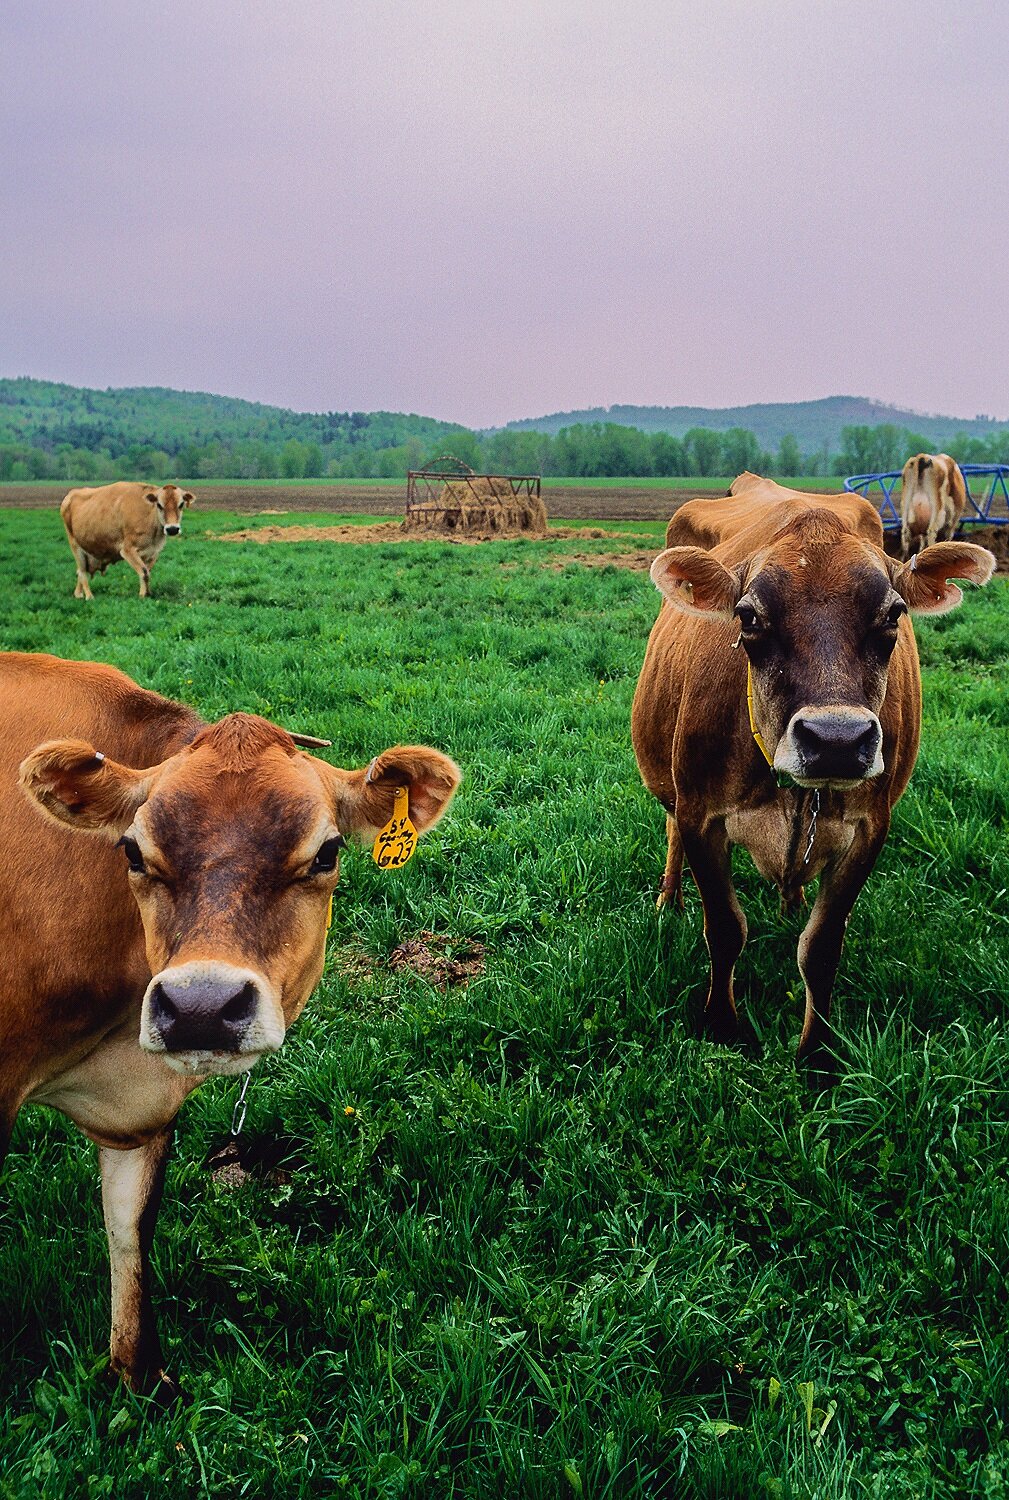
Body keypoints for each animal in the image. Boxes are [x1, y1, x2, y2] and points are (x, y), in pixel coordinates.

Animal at [0, 651, 461, 1398]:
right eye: (133, 852)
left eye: (327, 853)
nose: (200, 1007)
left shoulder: (140, 1116)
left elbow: (130, 1235)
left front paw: (140, 1382)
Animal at [59, 480, 196, 597]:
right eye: (159, 505)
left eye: (181, 504)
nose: (172, 529)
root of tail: (70, 495)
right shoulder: (128, 550)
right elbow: (144, 572)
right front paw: (142, 595)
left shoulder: (153, 552)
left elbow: (147, 572)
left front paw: (148, 593)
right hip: (76, 547)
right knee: (82, 572)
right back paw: (89, 596)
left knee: (79, 572)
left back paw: (78, 594)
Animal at [629, 474, 989, 1074]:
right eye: (748, 616)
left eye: (893, 614)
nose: (837, 741)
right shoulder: (702, 815)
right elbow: (724, 929)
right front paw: (722, 1025)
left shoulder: (869, 829)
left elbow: (820, 948)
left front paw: (815, 1051)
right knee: (670, 829)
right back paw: (669, 900)